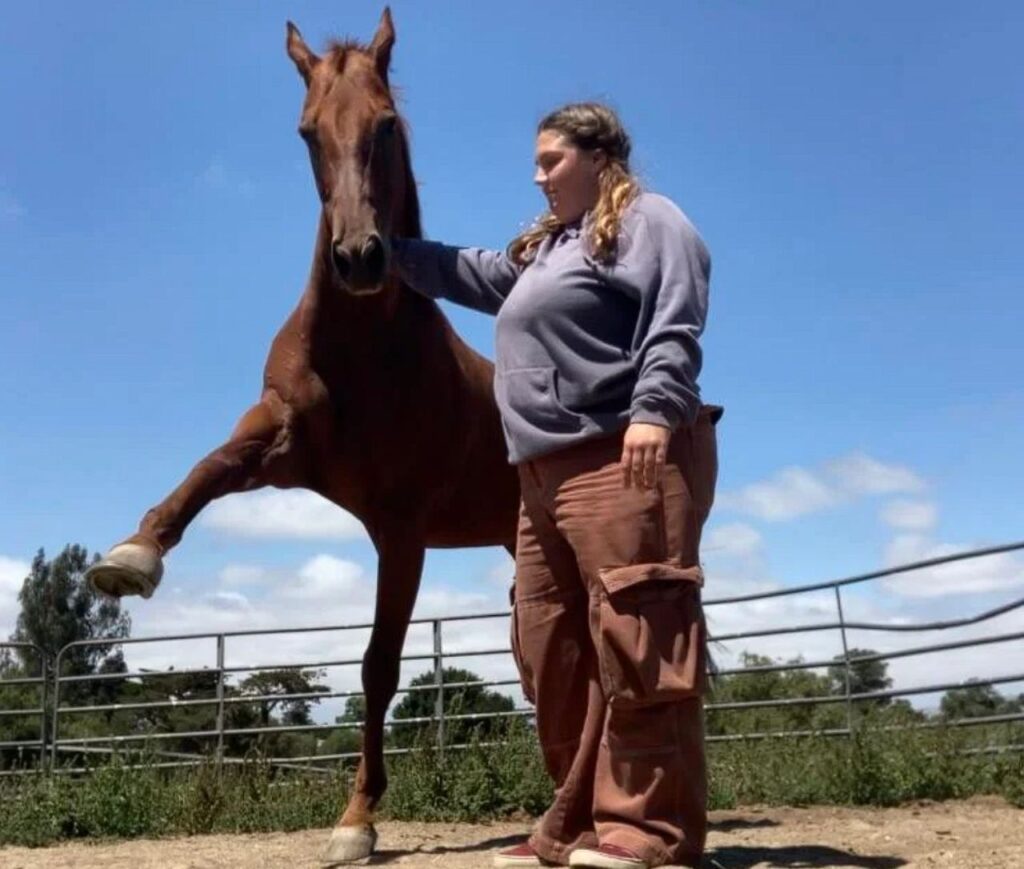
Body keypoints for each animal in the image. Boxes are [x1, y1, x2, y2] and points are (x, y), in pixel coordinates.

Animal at [86, 8, 520, 862]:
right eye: (307, 130)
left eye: (384, 124)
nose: (358, 257)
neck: (363, 348)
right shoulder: (283, 446)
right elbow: (207, 467)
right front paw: (132, 556)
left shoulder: (402, 529)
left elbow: (379, 666)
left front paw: (357, 818)